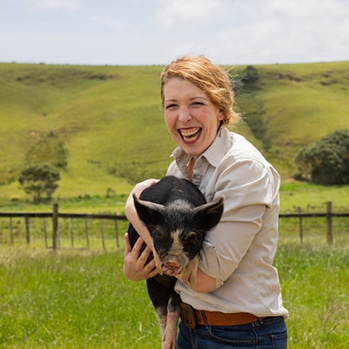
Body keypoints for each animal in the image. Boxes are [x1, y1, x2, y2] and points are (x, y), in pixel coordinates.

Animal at [125, 175, 223, 348]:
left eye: (192, 237)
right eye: (159, 234)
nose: (172, 262)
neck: (177, 203)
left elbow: (175, 305)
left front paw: (191, 275)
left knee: (172, 306)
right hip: (153, 283)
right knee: (160, 310)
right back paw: (166, 343)